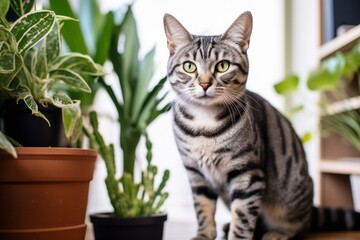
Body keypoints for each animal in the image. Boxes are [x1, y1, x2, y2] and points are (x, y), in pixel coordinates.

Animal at [163, 10, 360, 240]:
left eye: (222, 66)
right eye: (189, 66)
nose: (204, 84)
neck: (204, 126)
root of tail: (311, 209)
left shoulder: (247, 173)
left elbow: (243, 217)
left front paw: (236, 235)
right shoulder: (196, 173)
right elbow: (203, 209)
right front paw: (204, 235)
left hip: (290, 199)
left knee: (300, 225)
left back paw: (278, 233)